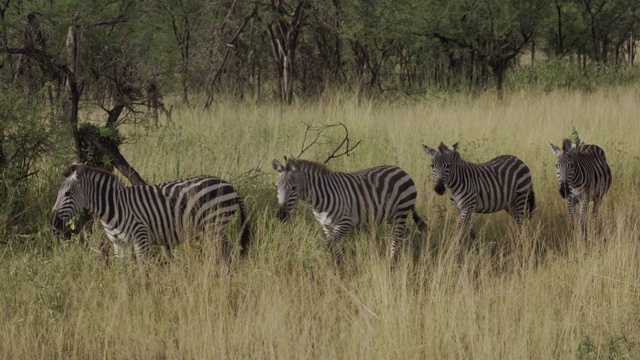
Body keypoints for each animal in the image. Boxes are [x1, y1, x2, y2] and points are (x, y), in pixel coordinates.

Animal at [50, 165, 250, 268]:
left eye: (67, 193)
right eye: (59, 193)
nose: (52, 222)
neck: (115, 207)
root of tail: (230, 185)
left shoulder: (141, 239)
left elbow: (142, 271)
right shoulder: (118, 244)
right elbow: (122, 271)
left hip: (216, 224)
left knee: (225, 254)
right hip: (212, 228)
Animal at [272, 159, 428, 266]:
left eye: (293, 188)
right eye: (277, 187)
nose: (281, 216)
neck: (319, 200)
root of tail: (402, 170)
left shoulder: (345, 223)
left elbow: (328, 245)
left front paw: (331, 264)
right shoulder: (326, 226)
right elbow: (334, 247)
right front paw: (340, 266)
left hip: (400, 212)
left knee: (397, 239)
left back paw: (392, 264)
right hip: (392, 216)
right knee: (406, 234)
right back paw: (406, 258)